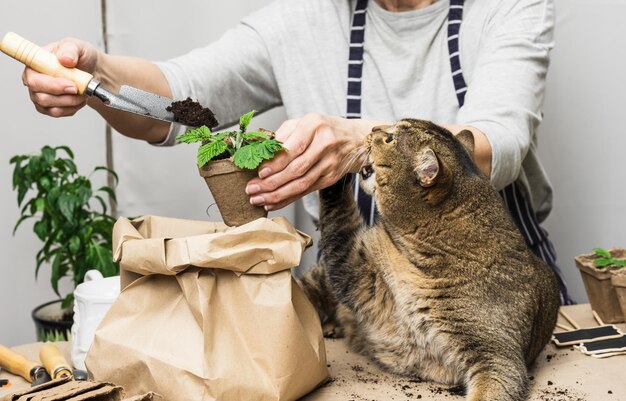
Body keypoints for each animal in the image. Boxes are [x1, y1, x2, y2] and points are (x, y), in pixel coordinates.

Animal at [300, 119, 560, 400]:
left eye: (390, 138)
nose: (372, 129)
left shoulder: (497, 358)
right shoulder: (357, 268)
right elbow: (339, 220)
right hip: (317, 280)